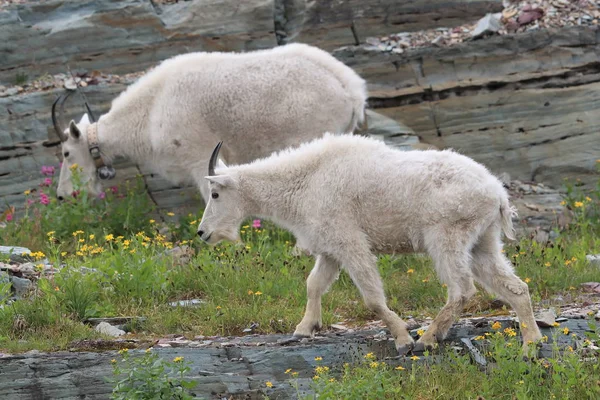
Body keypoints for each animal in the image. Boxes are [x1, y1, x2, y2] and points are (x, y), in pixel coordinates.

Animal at [197, 134, 544, 356]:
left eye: (215, 194)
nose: (202, 233)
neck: (304, 181)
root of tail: (498, 194)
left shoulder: (349, 241)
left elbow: (372, 298)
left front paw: (403, 339)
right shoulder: (330, 248)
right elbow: (313, 284)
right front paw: (305, 327)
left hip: (446, 234)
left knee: (462, 289)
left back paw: (428, 338)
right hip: (482, 241)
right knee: (515, 286)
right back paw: (531, 343)